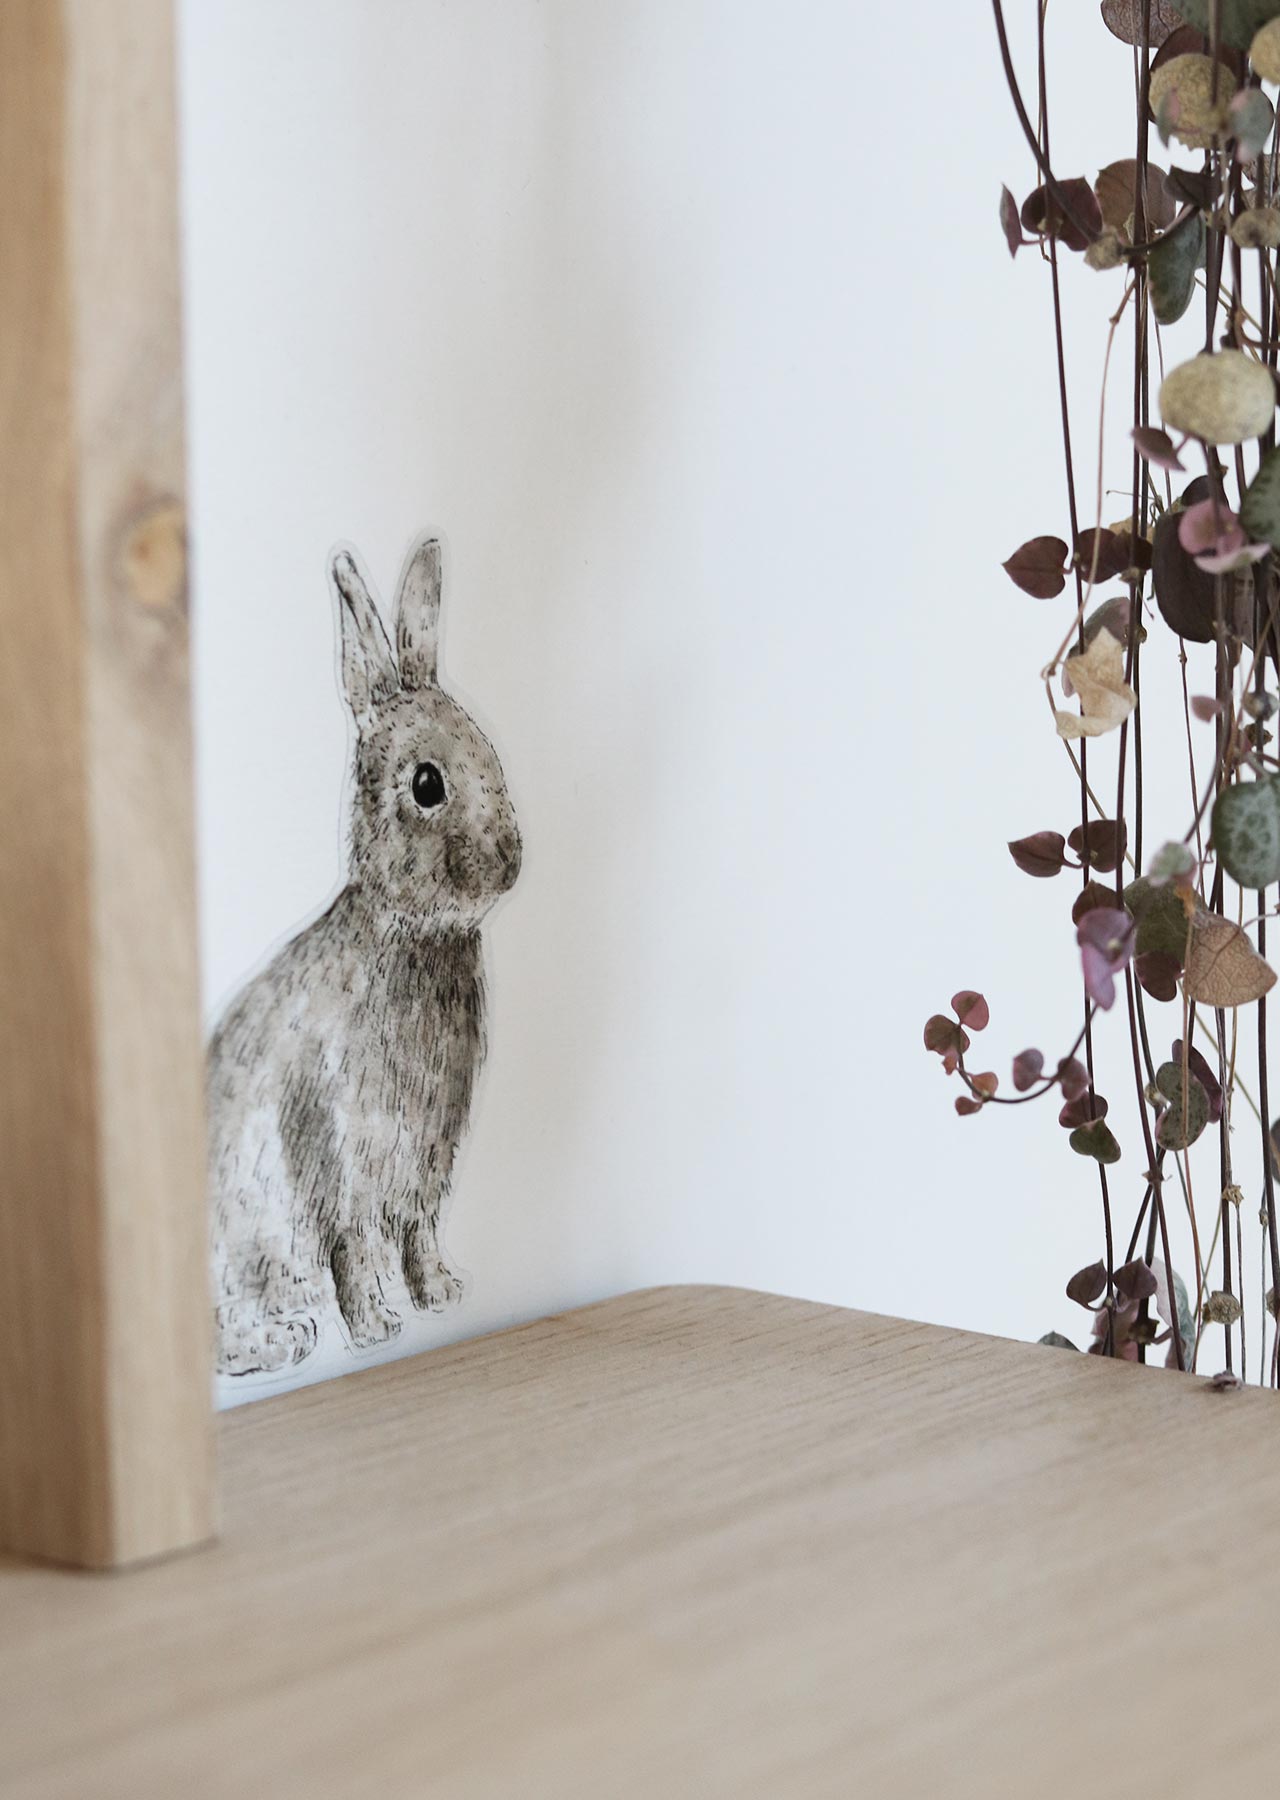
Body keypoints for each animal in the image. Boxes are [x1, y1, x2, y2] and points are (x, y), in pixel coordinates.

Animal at [208, 537, 521, 1377]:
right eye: (427, 784)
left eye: (490, 750)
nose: (511, 863)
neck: (412, 933)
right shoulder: (343, 1153)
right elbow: (353, 1246)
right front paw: (377, 1329)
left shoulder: (427, 1166)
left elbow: (417, 1233)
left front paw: (441, 1295)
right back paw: (285, 1339)